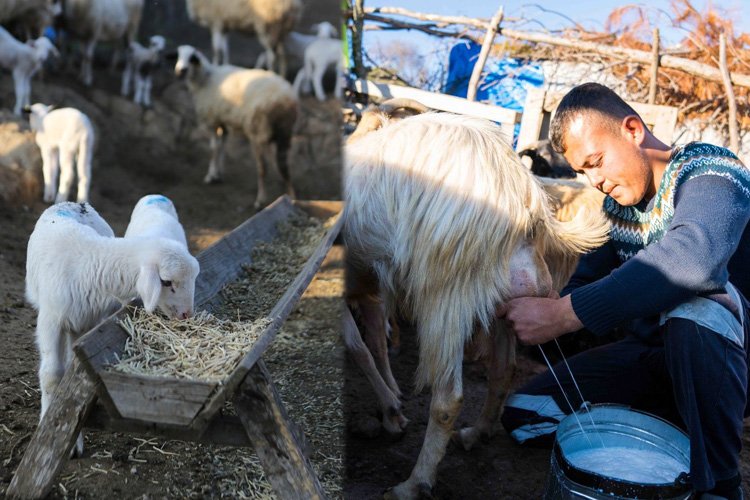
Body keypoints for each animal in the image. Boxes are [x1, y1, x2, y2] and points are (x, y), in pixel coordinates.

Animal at [26, 201, 198, 456]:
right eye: (166, 282)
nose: (187, 315)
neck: (90, 261)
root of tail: (73, 203)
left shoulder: (92, 321)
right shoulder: (50, 320)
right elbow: (51, 375)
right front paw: (49, 427)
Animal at [176, 46, 300, 210]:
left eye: (191, 57)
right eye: (178, 55)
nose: (180, 71)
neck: (205, 79)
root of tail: (285, 99)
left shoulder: (213, 120)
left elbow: (214, 148)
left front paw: (211, 175)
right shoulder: (223, 121)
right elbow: (222, 146)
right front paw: (218, 173)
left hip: (258, 132)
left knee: (263, 167)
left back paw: (260, 200)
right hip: (284, 133)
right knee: (284, 164)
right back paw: (291, 196)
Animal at [346, 104, 612, 496]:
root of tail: (523, 196)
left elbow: (359, 346)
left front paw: (391, 409)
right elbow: (373, 342)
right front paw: (391, 403)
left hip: (446, 296)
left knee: (448, 399)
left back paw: (413, 484)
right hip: (508, 301)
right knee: (504, 369)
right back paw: (477, 433)